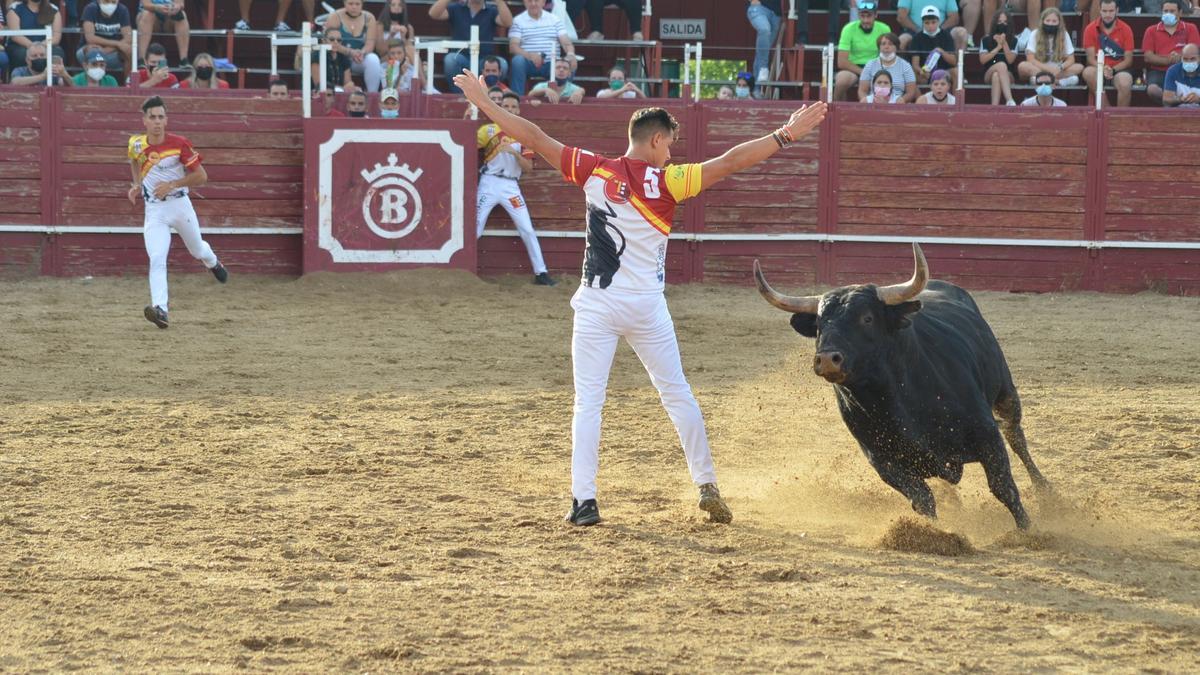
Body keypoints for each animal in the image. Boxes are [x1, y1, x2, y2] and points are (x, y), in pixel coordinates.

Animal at [758, 243, 1051, 528]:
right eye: (819, 324)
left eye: (867, 318)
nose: (828, 359)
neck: (895, 398)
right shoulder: (883, 462)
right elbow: (922, 499)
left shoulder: (986, 433)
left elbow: (1003, 487)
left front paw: (1028, 531)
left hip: (1006, 392)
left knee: (1016, 436)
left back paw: (1047, 492)